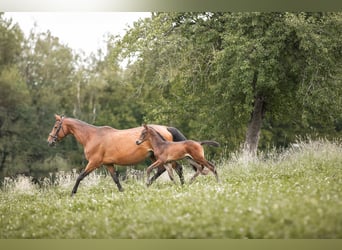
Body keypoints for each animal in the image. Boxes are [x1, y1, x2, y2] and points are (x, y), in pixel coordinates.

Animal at [46, 114, 192, 195]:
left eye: (55, 127)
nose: (49, 141)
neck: (92, 136)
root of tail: (166, 128)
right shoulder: (108, 164)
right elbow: (116, 179)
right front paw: (123, 192)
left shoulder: (93, 163)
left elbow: (80, 177)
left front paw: (72, 193)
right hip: (155, 157)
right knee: (164, 169)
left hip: (164, 157)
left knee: (177, 168)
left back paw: (181, 185)